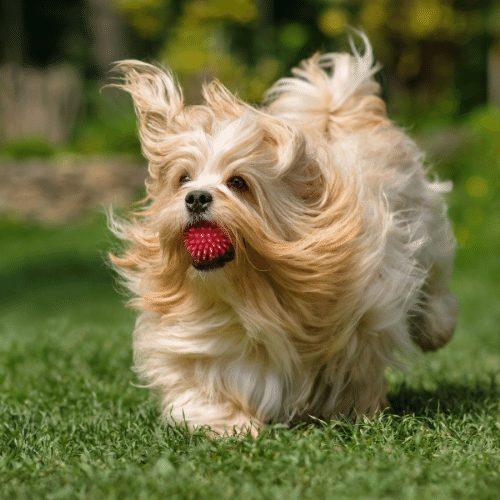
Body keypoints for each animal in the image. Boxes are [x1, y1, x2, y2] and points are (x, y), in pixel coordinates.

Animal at [109, 34, 458, 438]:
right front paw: (227, 423)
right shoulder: (196, 340)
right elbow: (201, 384)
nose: (196, 197)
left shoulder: (367, 310)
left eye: (238, 182)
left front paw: (354, 410)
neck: (255, 292)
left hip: (426, 223)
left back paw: (436, 329)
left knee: (436, 281)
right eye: (183, 178)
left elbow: (355, 367)